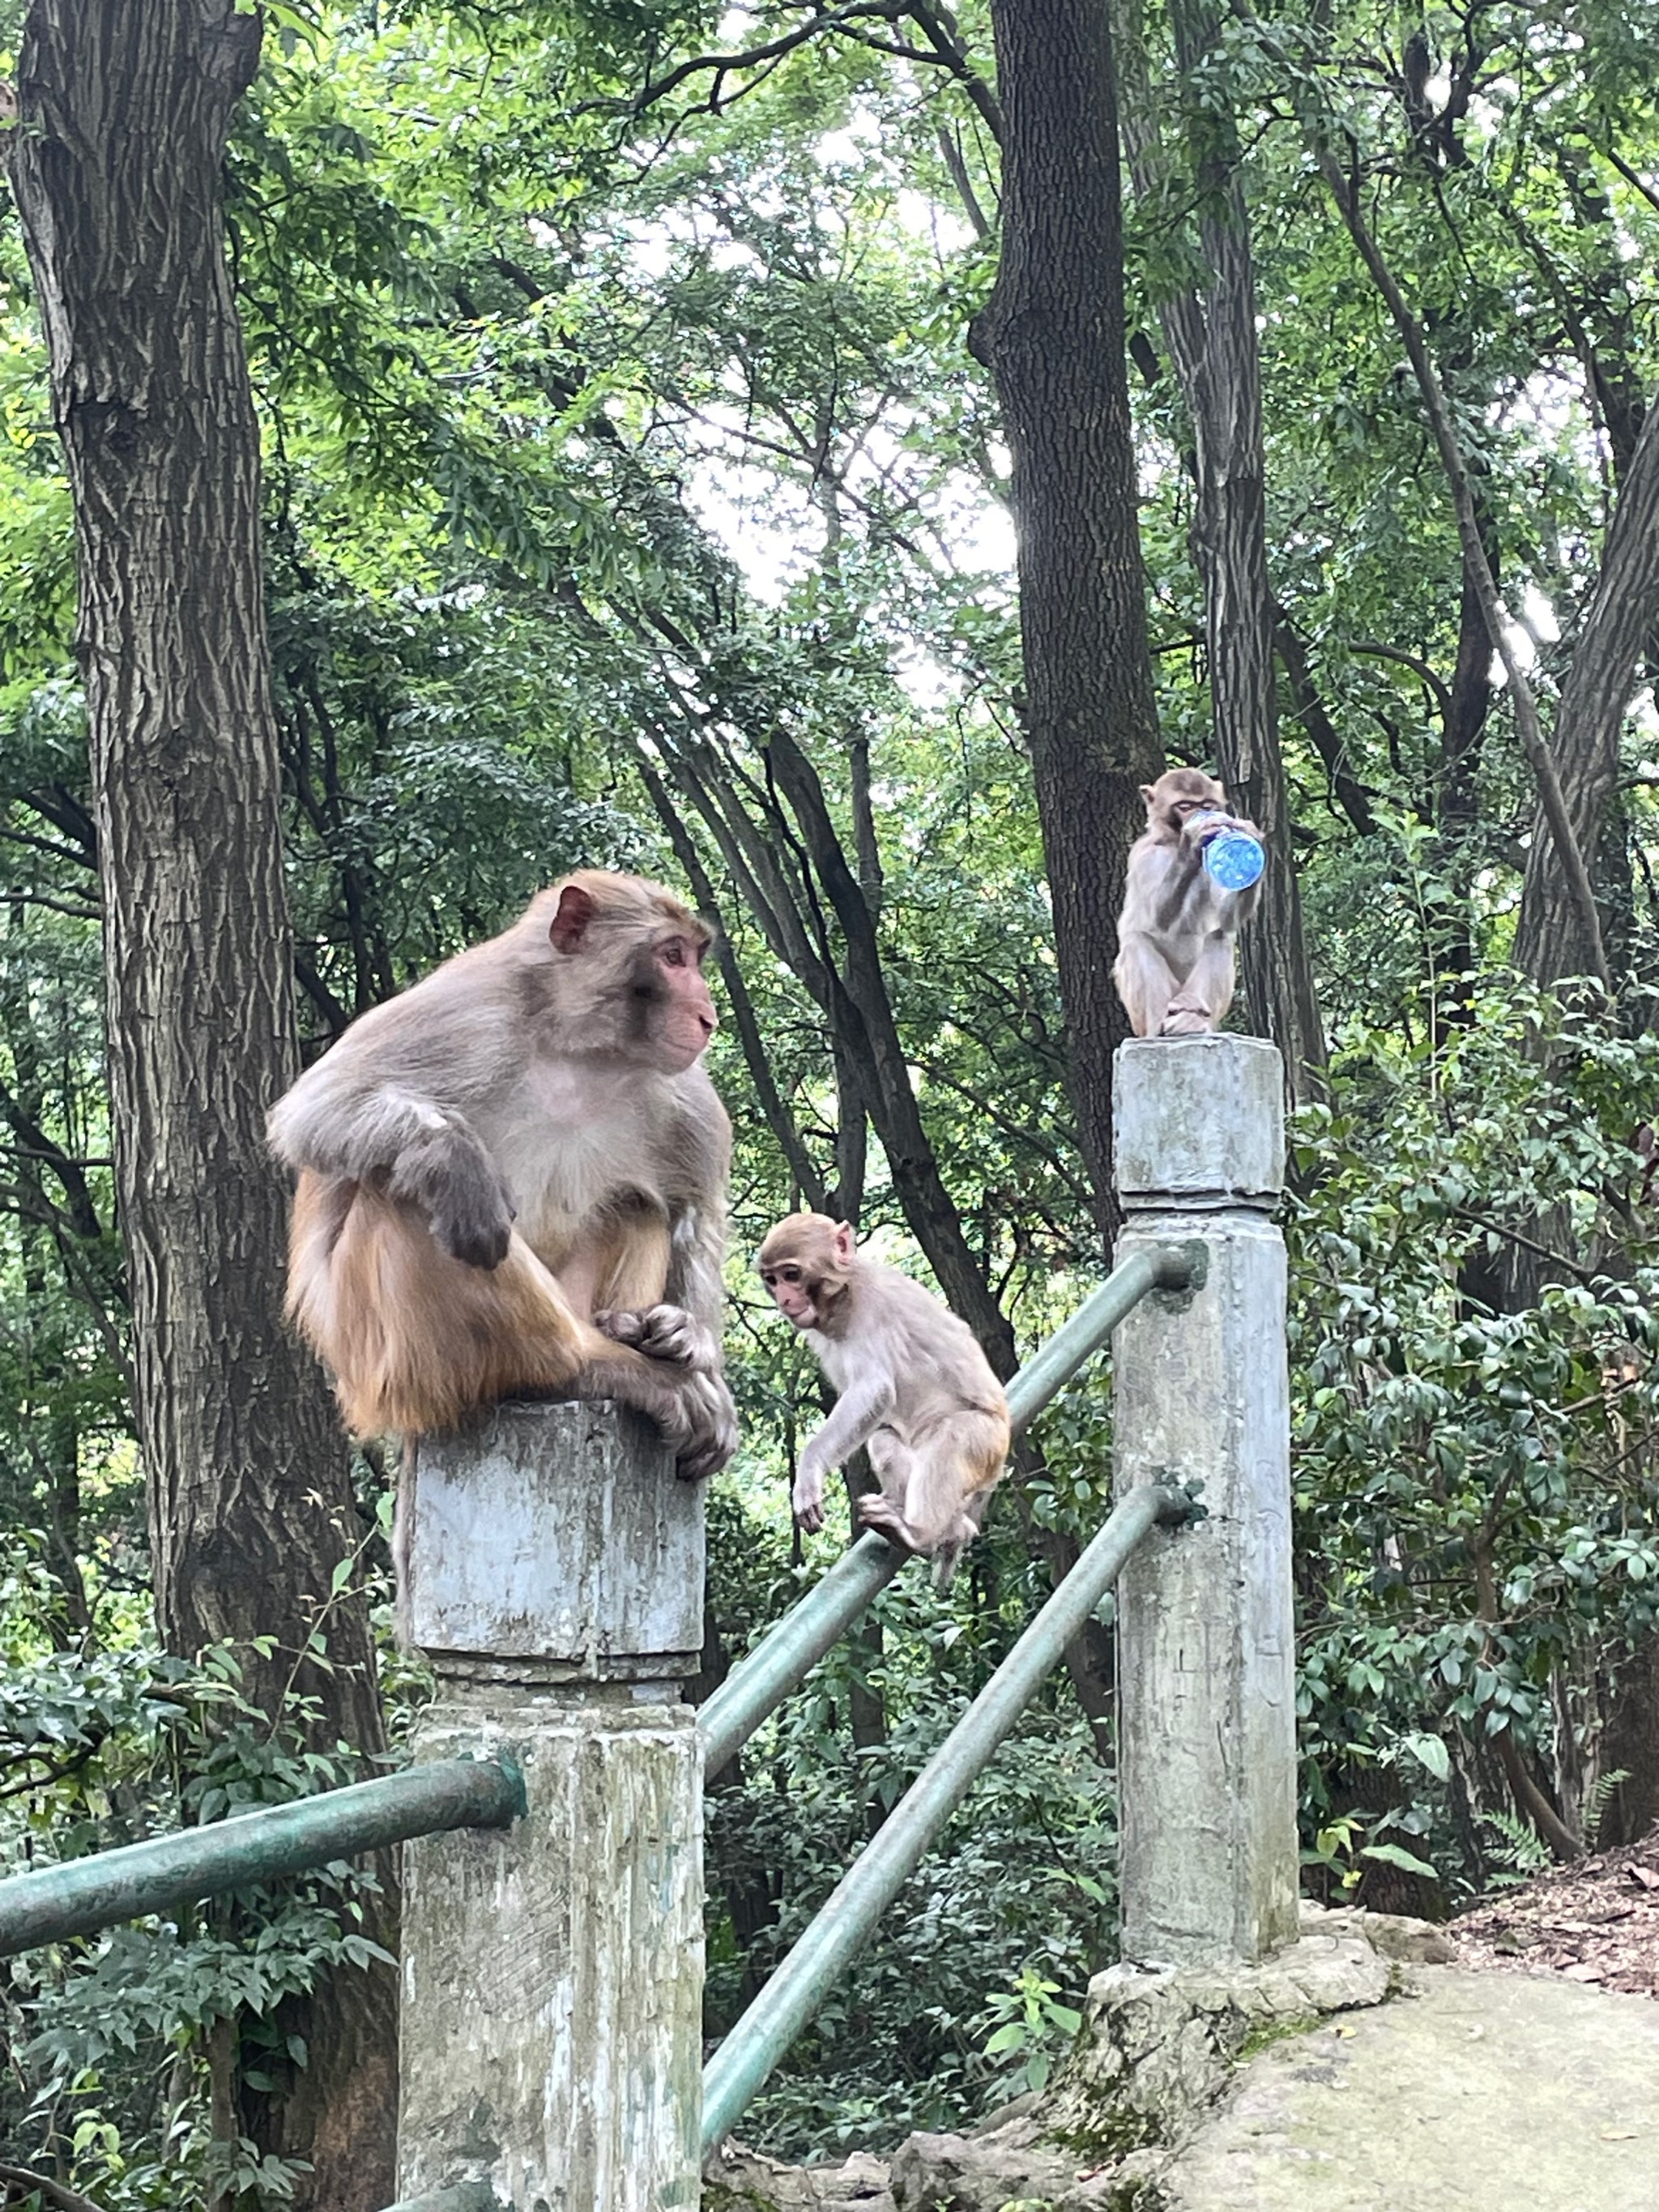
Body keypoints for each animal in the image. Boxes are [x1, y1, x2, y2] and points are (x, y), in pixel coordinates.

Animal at [270, 871, 739, 1477]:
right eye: (672, 957)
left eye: (693, 957)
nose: (707, 1015)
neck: (579, 1049)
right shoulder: (472, 1012)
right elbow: (318, 1106)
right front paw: (458, 1163)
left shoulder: (681, 1090)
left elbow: (693, 1207)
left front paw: (688, 1337)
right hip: (393, 1366)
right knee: (410, 1194)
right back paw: (590, 1369)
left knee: (638, 1206)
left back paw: (628, 1341)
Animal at [756, 1212, 1013, 1592]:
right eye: (772, 1280)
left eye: (791, 1275)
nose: (784, 1299)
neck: (844, 1296)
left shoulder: (871, 1307)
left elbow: (874, 1389)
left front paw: (809, 1470)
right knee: (884, 1439)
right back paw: (947, 1528)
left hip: (988, 1443)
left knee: (954, 1435)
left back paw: (918, 1533)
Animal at [1110, 765, 1265, 1040]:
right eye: (1184, 806)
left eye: (1205, 804)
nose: (1199, 814)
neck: (1172, 841)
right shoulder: (1145, 858)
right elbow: (1157, 920)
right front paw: (1192, 842)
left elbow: (1228, 919)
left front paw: (1247, 840)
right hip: (1146, 1013)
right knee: (1136, 942)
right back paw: (1158, 1028)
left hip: (1194, 995)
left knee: (1220, 937)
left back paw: (1196, 1022)